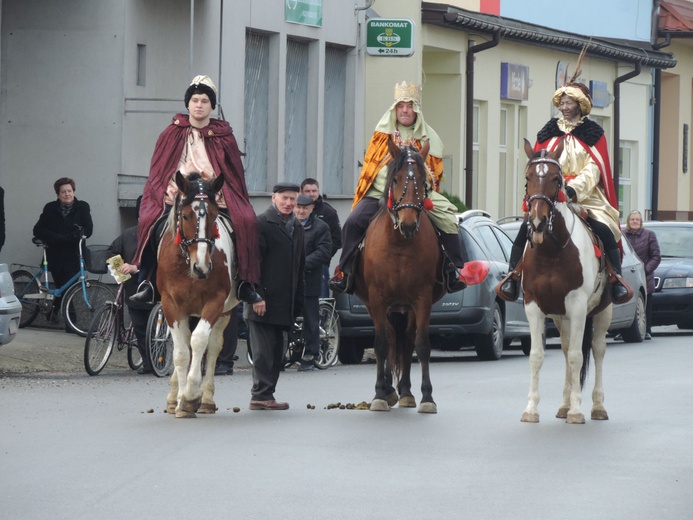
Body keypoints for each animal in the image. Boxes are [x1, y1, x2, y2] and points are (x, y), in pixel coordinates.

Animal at [157, 171, 238, 418]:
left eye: (213, 215)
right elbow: (181, 352)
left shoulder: (216, 303)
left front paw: (191, 396)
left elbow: (200, 340)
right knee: (185, 344)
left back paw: (206, 400)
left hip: (225, 312)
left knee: (212, 347)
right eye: (185, 216)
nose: (201, 267)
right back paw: (174, 397)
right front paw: (182, 399)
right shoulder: (170, 305)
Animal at [354, 138, 446, 414]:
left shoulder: (422, 299)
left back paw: (405, 391)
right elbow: (381, 345)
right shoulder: (377, 298)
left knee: (405, 341)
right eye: (395, 179)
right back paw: (389, 389)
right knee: (391, 339)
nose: (407, 223)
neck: (399, 245)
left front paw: (427, 397)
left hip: (406, 308)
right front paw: (379, 395)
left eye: (423, 181)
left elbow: (421, 345)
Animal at [520, 140, 612, 424]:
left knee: (597, 349)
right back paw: (563, 404)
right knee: (565, 348)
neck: (552, 251)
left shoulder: (578, 306)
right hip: (562, 317)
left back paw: (597, 406)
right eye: (528, 178)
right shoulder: (533, 306)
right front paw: (531, 409)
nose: (537, 222)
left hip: (603, 310)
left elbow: (577, 357)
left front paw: (576, 410)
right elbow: (537, 356)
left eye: (555, 179)